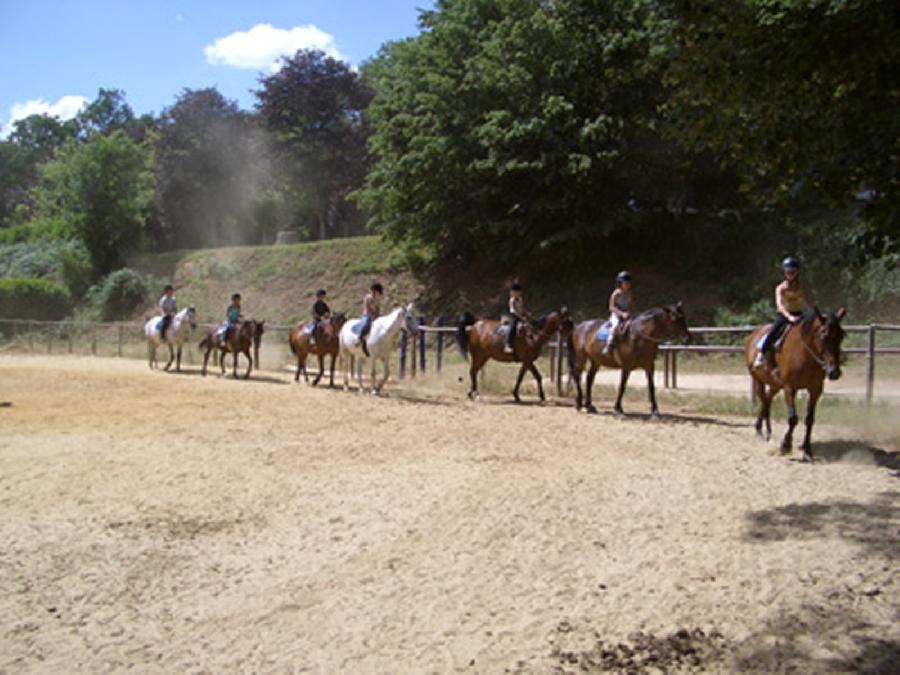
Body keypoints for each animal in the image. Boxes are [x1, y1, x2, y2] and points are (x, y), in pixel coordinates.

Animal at [740, 304, 848, 460]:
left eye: (841, 335)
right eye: (823, 335)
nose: (834, 372)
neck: (804, 354)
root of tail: (752, 335)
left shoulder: (815, 389)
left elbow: (809, 419)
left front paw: (807, 450)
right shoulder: (789, 387)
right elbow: (793, 418)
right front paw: (785, 445)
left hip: (775, 384)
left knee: (767, 400)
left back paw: (767, 432)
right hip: (758, 380)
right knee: (764, 400)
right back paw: (761, 432)